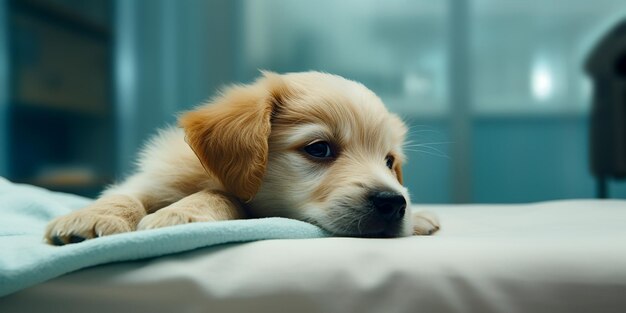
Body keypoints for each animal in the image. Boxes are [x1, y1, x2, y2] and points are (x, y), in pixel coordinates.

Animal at [44, 70, 436, 244]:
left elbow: (223, 194)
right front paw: (92, 216)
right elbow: (124, 193)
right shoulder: (155, 176)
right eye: (319, 149)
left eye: (389, 162)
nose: (393, 202)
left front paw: (183, 213)